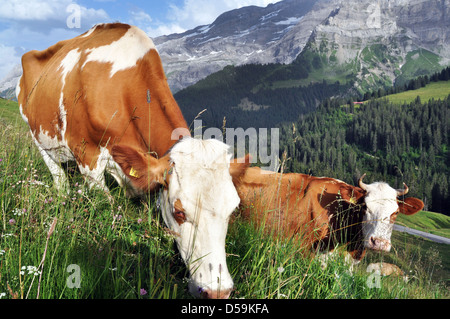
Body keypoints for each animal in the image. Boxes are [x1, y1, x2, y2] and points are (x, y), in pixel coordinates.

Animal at [17, 23, 244, 300]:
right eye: (179, 212)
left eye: (233, 210)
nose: (218, 292)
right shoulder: (87, 157)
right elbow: (109, 209)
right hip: (36, 135)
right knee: (58, 178)